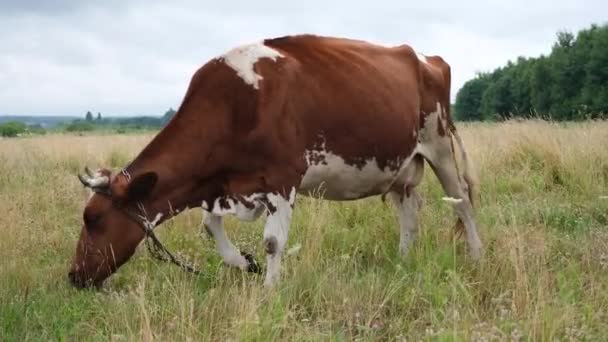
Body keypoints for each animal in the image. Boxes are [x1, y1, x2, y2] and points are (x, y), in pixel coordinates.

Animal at [69, 34, 482, 288]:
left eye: (94, 219)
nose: (73, 276)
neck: (234, 104)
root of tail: (425, 57)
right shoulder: (228, 186)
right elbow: (210, 226)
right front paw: (242, 262)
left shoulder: (284, 178)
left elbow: (271, 242)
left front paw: (269, 290)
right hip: (397, 165)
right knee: (409, 212)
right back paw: (403, 261)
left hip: (439, 145)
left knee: (462, 202)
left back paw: (477, 255)